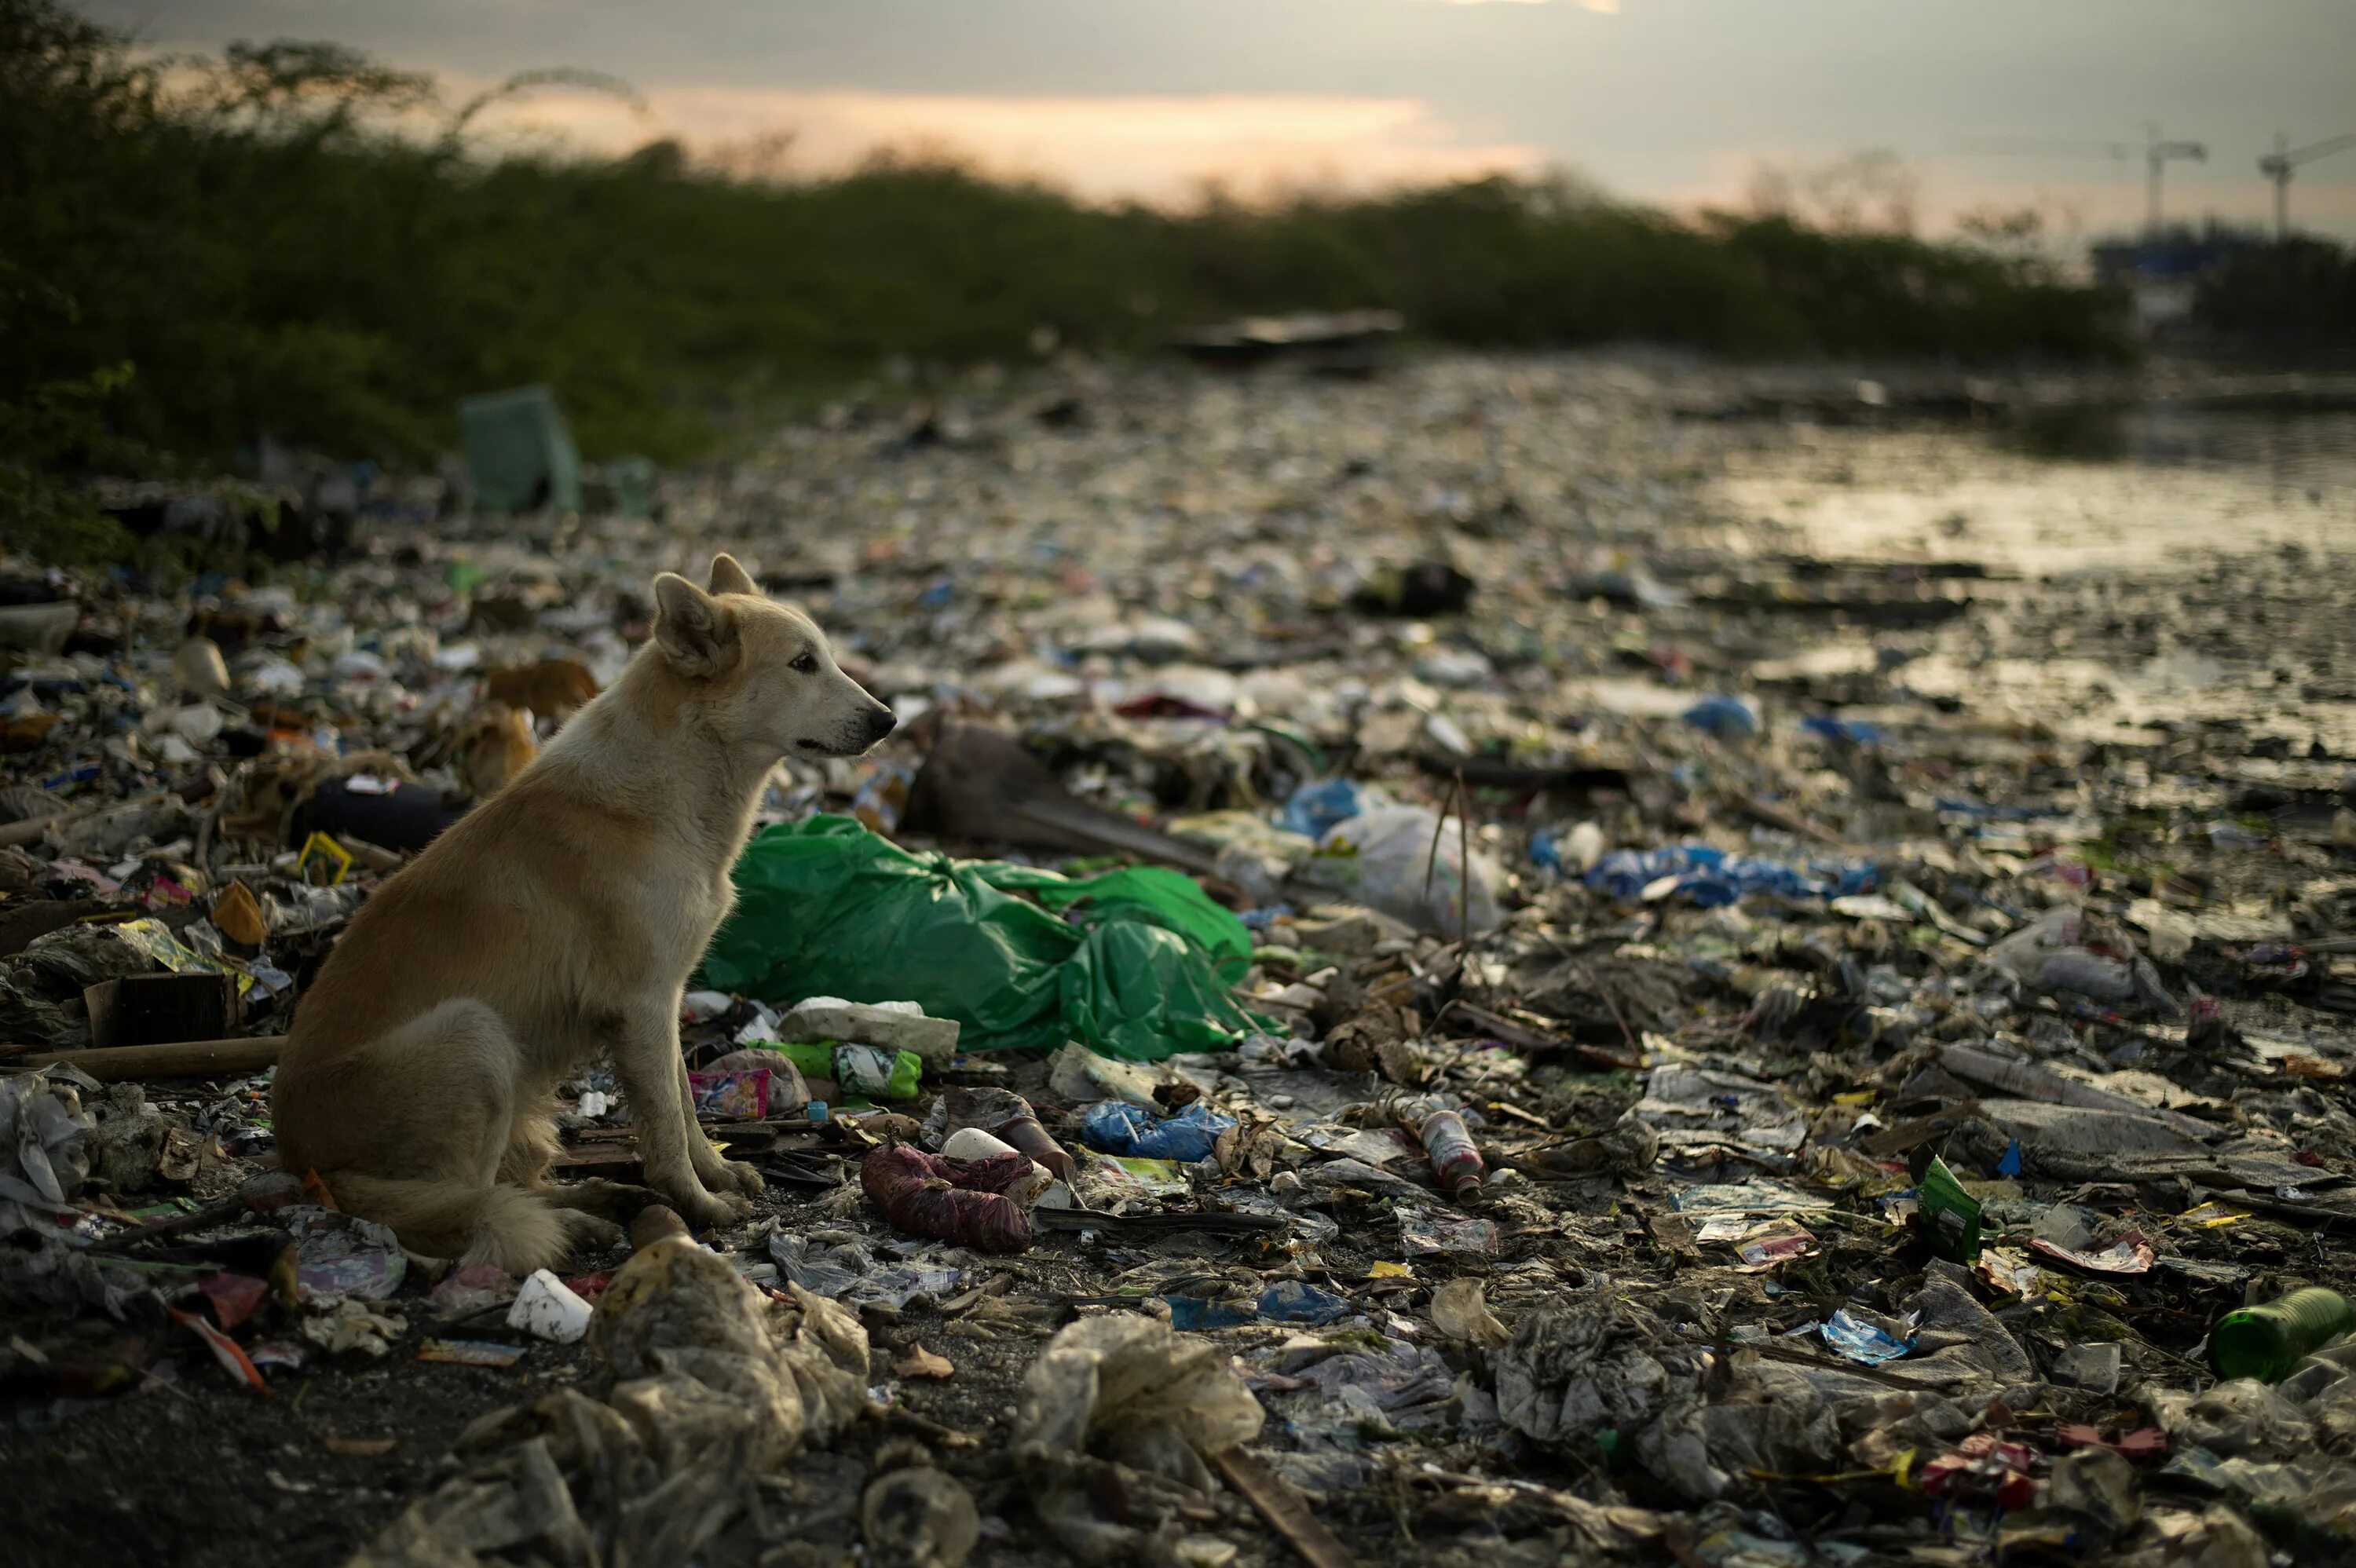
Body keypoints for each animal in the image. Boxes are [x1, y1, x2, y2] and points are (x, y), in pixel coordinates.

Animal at [271, 555, 895, 1262]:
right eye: (802, 663)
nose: (888, 720)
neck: (671, 784)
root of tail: (301, 1162)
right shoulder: (640, 1005)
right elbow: (666, 1127)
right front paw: (699, 1205)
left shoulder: (663, 1003)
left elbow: (683, 1106)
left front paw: (714, 1172)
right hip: (474, 1037)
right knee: (464, 1206)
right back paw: (575, 1222)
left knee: (502, 1191)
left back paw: (598, 1201)